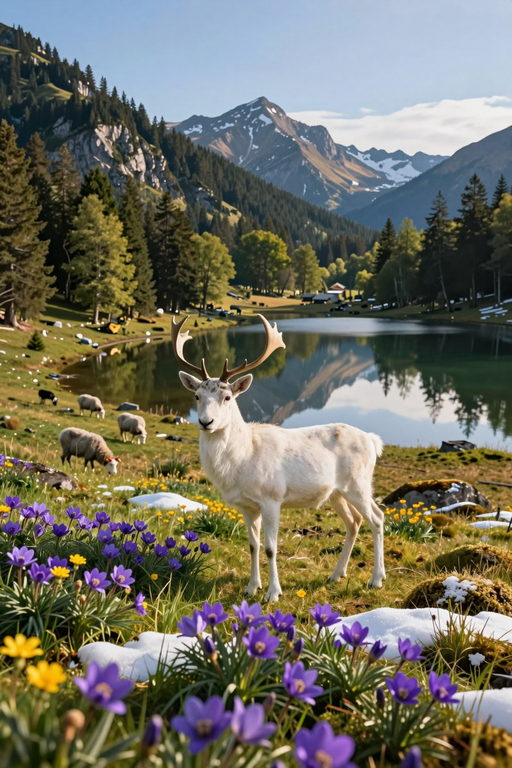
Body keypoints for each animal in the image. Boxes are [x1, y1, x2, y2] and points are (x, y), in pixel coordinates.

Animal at [172, 314, 385, 602]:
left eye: (227, 397)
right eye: (197, 396)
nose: (206, 422)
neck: (242, 463)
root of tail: (373, 441)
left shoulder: (272, 498)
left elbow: (271, 547)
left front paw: (273, 593)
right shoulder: (247, 506)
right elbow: (252, 545)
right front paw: (252, 587)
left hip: (359, 483)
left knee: (377, 518)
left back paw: (376, 579)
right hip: (336, 492)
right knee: (354, 522)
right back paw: (336, 575)